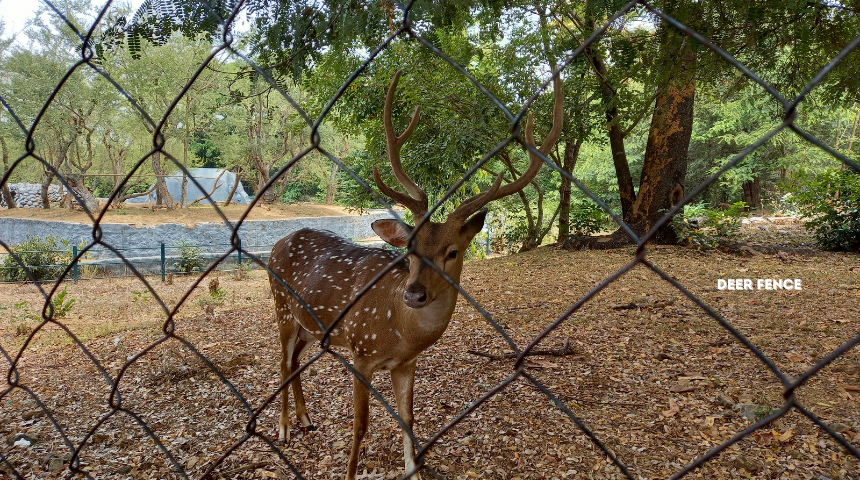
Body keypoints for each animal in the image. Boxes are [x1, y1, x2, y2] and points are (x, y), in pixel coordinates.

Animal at [268, 71, 564, 480]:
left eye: (452, 252)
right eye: (410, 248)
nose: (415, 294)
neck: (400, 331)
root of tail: (278, 242)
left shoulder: (407, 363)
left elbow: (407, 416)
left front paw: (414, 469)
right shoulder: (361, 350)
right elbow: (361, 425)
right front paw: (351, 472)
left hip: (310, 326)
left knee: (294, 361)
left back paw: (306, 419)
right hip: (281, 307)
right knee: (282, 361)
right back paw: (283, 429)